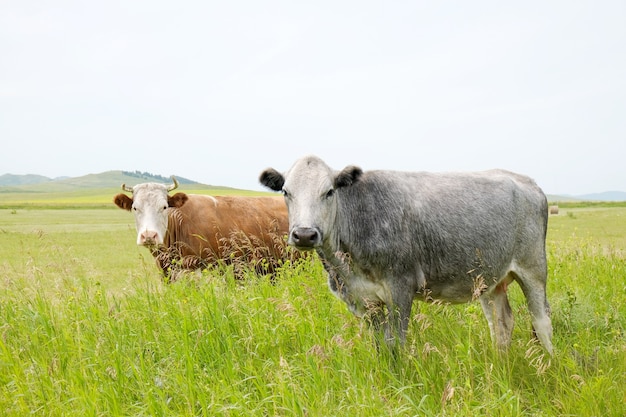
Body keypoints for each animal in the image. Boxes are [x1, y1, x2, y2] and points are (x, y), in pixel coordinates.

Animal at [258, 154, 552, 352]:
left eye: (329, 192)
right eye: (286, 192)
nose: (305, 234)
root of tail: (528, 182)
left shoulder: (400, 288)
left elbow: (396, 344)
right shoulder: (366, 300)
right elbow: (381, 346)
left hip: (534, 269)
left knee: (542, 321)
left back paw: (548, 368)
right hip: (490, 279)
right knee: (501, 324)